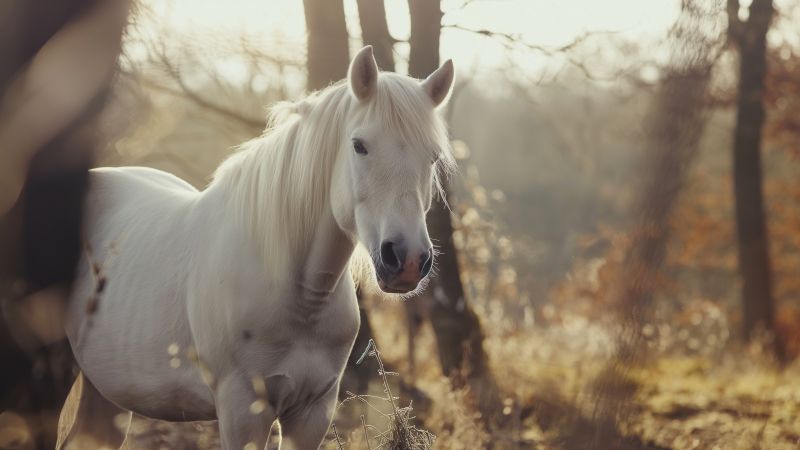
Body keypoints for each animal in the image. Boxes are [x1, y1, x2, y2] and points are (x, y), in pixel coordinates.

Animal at [56, 45, 456, 450]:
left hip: (103, 395)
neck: (301, 296)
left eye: (433, 156)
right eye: (359, 146)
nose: (407, 259)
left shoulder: (312, 412)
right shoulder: (243, 409)